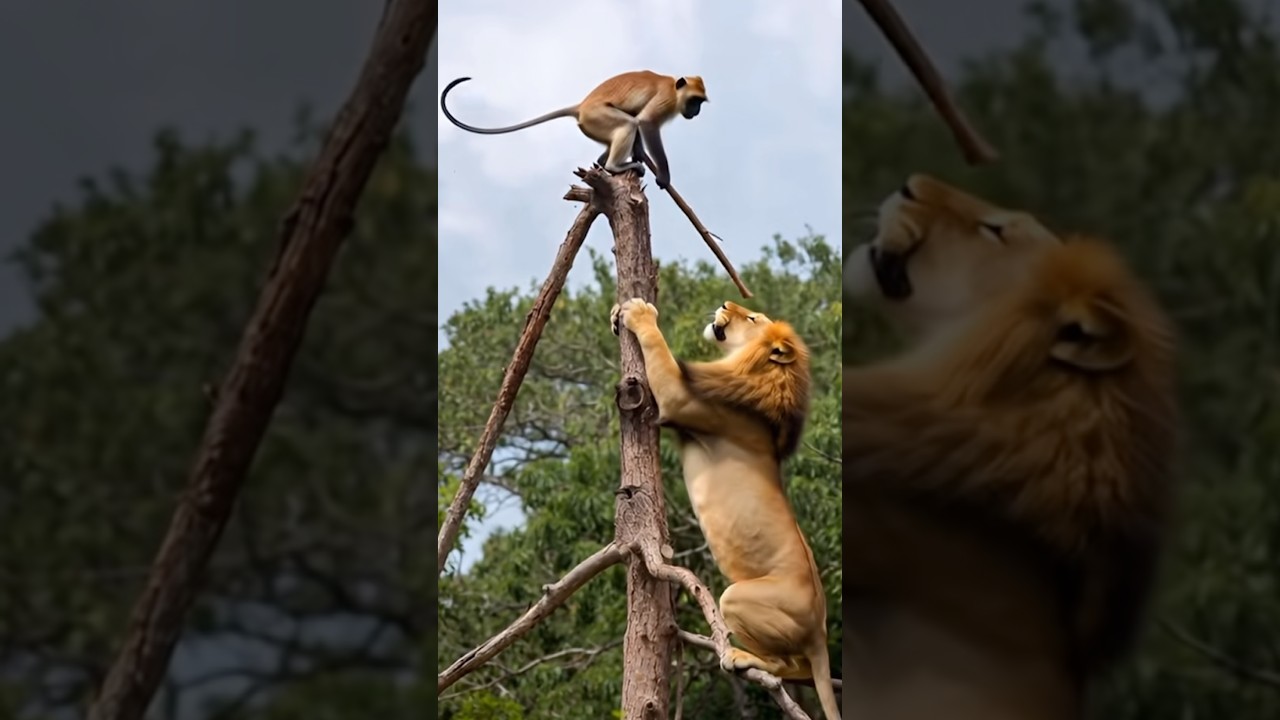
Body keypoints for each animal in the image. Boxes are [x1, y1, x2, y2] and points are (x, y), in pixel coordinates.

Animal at [440, 70, 708, 190]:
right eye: (694, 101)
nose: (696, 111)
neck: (673, 86)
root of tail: (581, 107)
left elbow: (640, 122)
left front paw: (639, 154)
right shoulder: (665, 100)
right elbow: (645, 122)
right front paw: (663, 176)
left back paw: (603, 163)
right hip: (598, 116)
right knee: (628, 123)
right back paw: (614, 166)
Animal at [611, 298, 841, 720]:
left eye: (751, 318)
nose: (724, 302)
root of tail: (821, 631)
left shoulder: (680, 400)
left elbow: (659, 347)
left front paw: (640, 312)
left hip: (737, 599)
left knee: (787, 664)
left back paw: (741, 657)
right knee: (798, 670)